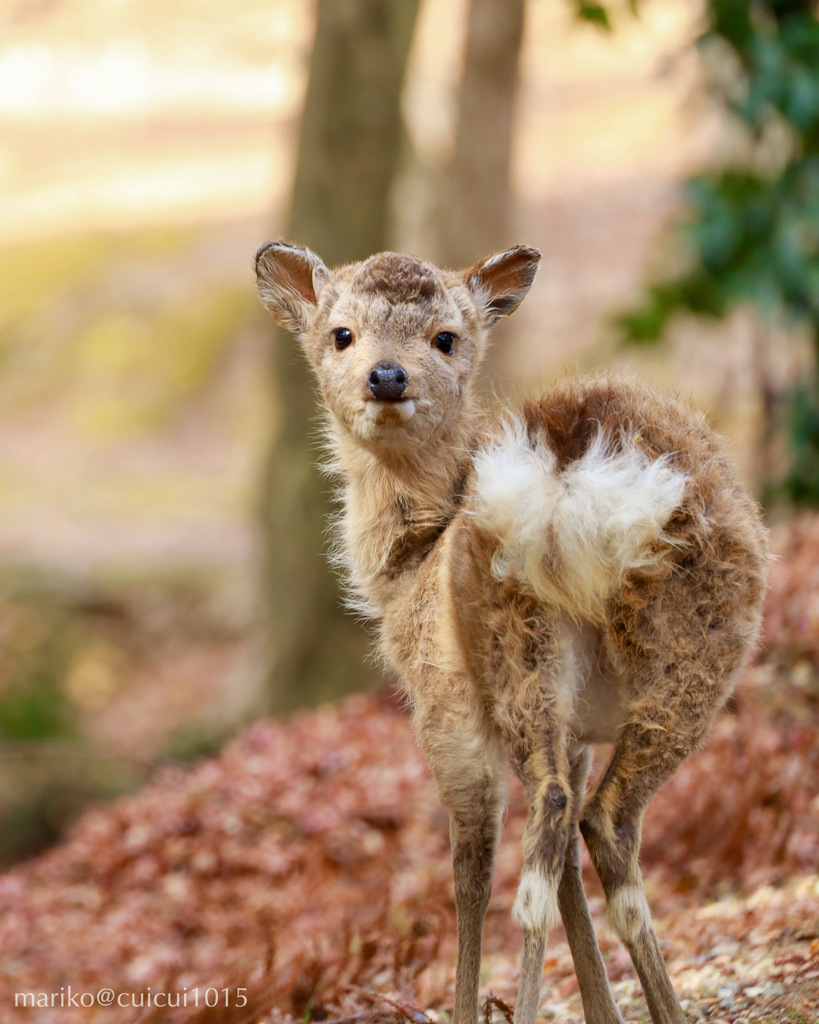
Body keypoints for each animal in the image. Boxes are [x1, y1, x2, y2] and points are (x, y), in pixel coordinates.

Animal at [253, 241, 769, 1024]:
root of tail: (566, 470)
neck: (404, 567)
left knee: (565, 822)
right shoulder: (578, 728)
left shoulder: (442, 707)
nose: (387, 375)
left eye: (446, 337)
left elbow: (470, 865)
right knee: (582, 819)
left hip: (544, 648)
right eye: (340, 333)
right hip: (656, 648)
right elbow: (566, 874)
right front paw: (602, 1012)